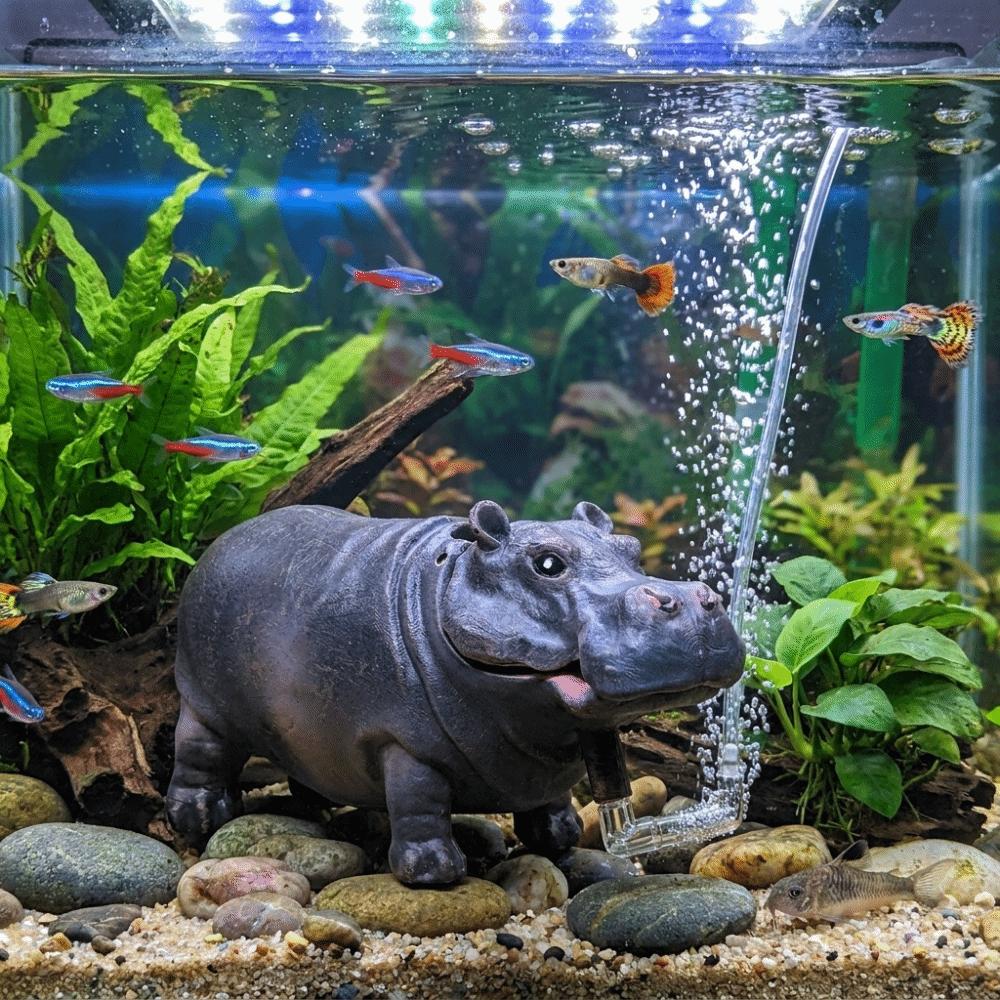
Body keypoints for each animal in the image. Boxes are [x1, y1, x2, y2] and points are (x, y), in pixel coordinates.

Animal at [166, 500, 743, 885]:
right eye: (547, 563)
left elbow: (550, 798)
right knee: (198, 753)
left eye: (632, 550)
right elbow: (419, 802)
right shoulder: (403, 742)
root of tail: (223, 539)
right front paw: (434, 870)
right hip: (202, 699)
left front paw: (558, 835)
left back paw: (318, 808)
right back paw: (200, 817)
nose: (697, 601)